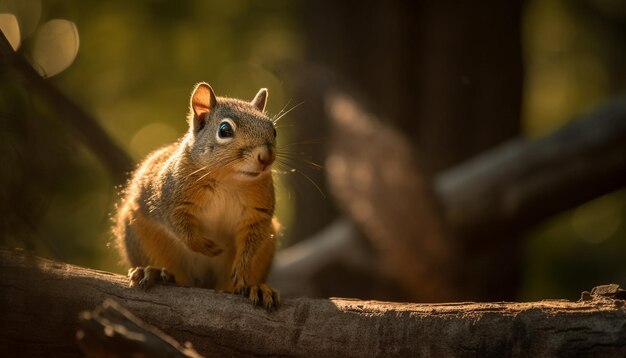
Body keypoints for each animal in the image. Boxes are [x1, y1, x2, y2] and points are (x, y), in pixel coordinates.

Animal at [111, 82, 280, 310]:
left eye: (273, 130)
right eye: (225, 130)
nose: (266, 157)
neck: (229, 180)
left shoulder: (259, 215)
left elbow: (251, 245)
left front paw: (243, 268)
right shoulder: (170, 200)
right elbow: (181, 229)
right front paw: (207, 246)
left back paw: (256, 288)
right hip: (141, 234)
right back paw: (153, 272)